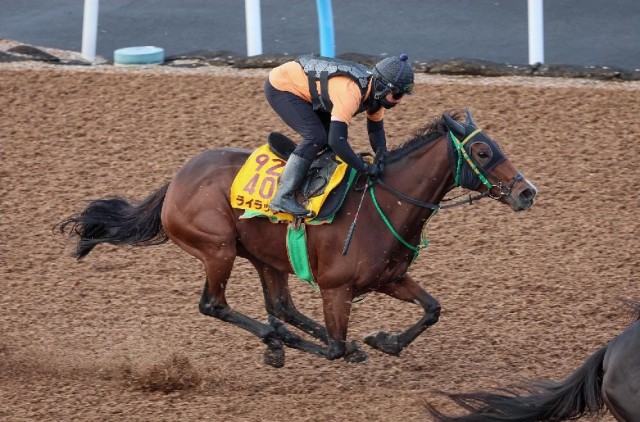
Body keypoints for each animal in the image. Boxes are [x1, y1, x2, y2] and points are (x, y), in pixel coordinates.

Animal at [55, 108, 536, 366]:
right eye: (482, 152)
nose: (527, 191)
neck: (383, 205)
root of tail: (175, 182)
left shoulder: (389, 278)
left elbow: (432, 309)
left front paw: (385, 341)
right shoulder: (336, 289)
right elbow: (336, 348)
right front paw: (339, 345)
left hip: (265, 256)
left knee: (281, 306)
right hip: (218, 248)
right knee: (217, 305)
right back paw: (275, 341)